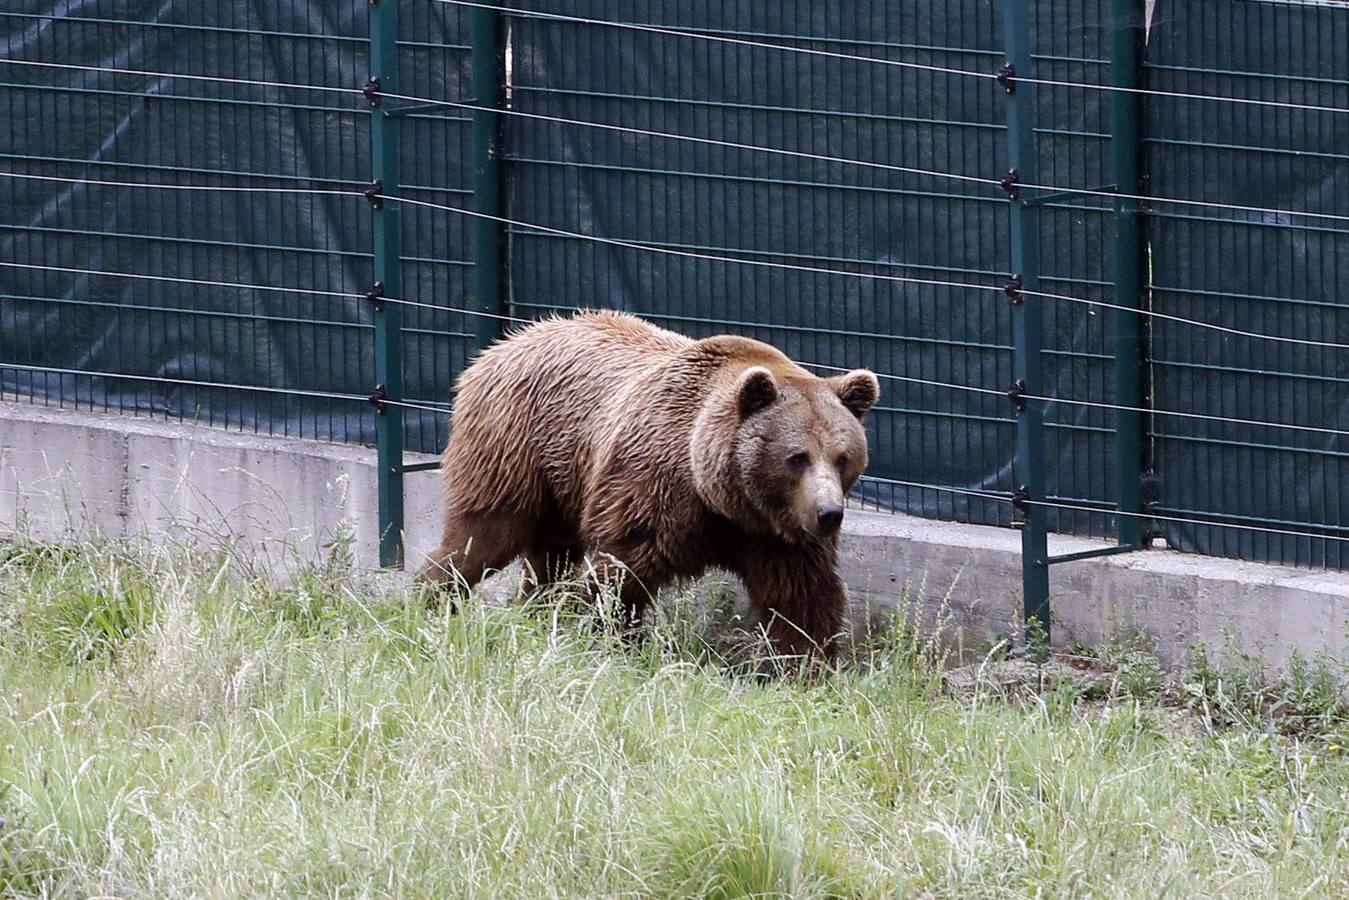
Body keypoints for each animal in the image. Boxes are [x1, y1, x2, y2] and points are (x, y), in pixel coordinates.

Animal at [423, 313, 884, 658]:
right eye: (797, 457)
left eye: (843, 458)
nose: (829, 514)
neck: (720, 495)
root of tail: (504, 342)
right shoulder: (655, 488)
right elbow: (619, 572)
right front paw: (591, 628)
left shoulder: (775, 532)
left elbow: (800, 596)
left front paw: (804, 663)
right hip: (514, 444)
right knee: (483, 535)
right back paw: (431, 598)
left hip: (564, 479)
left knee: (547, 556)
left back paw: (530, 608)